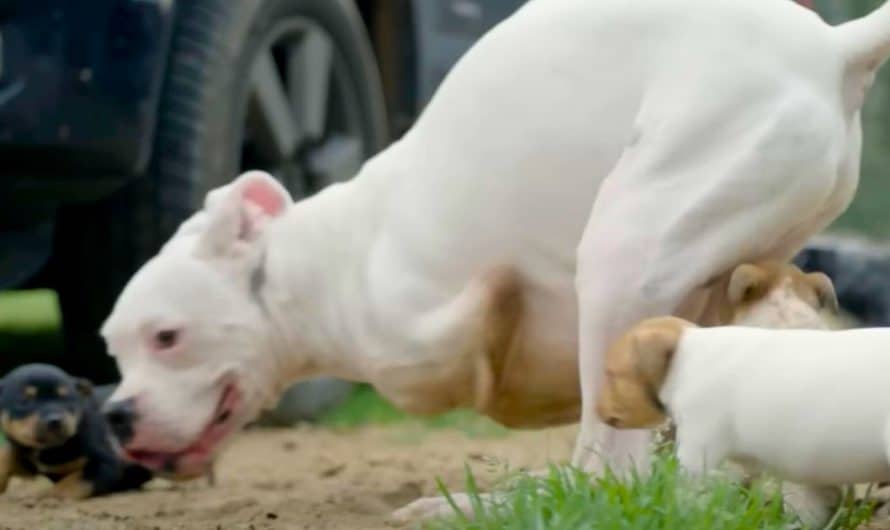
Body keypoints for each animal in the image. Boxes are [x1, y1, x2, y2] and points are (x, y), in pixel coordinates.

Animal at [0, 366, 151, 498]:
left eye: (66, 399)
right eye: (24, 401)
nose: (55, 420)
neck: (49, 449)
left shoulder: (106, 464)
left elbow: (71, 482)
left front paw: (50, 497)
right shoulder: (25, 459)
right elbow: (7, 454)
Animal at [596, 314, 890, 524]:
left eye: (610, 374)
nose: (596, 410)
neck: (687, 354)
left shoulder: (699, 449)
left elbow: (687, 490)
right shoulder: (815, 473)